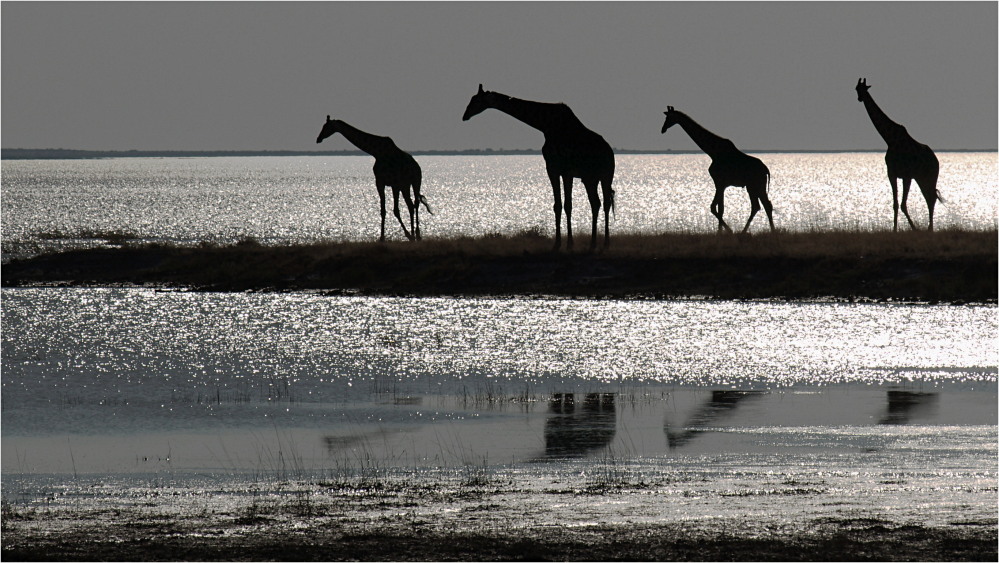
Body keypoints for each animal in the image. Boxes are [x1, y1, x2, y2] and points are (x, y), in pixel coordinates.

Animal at [462, 85, 616, 250]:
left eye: (476, 100)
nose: (465, 115)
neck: (545, 126)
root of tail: (610, 151)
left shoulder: (565, 170)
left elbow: (567, 205)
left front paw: (569, 244)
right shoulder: (552, 169)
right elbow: (557, 205)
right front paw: (557, 244)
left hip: (606, 175)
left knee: (605, 203)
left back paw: (604, 244)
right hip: (590, 178)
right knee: (596, 203)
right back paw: (594, 244)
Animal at [856, 77, 940, 231]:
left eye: (864, 89)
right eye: (856, 88)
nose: (860, 98)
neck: (890, 139)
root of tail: (936, 160)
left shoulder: (906, 175)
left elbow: (902, 204)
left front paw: (914, 229)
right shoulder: (892, 173)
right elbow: (895, 204)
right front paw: (895, 230)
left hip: (929, 176)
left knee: (931, 198)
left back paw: (930, 229)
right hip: (921, 178)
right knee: (930, 197)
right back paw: (929, 228)